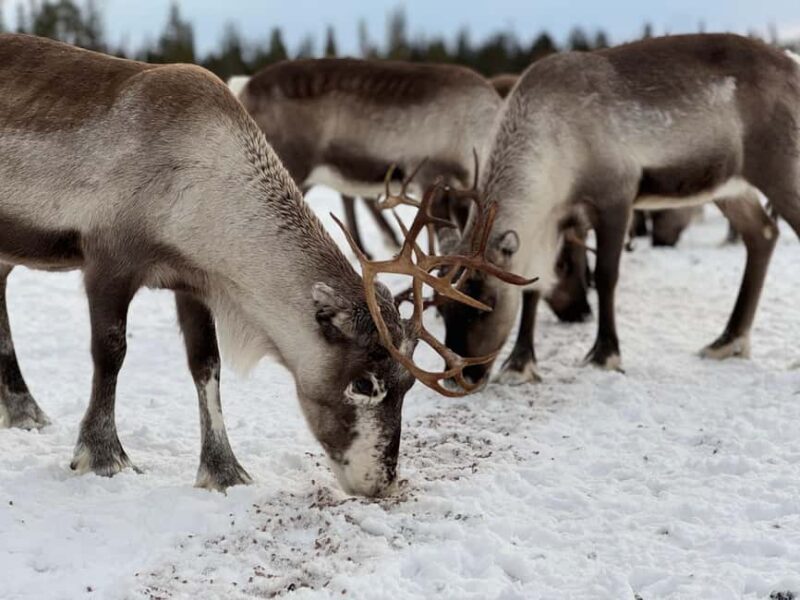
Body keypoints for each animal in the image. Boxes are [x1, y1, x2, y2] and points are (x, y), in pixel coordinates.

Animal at [0, 34, 528, 496]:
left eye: (407, 385)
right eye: (363, 383)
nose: (381, 483)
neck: (199, 187)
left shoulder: (193, 282)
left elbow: (206, 366)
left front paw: (223, 470)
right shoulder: (108, 262)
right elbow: (111, 352)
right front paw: (102, 455)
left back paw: (22, 408)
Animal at [436, 34, 800, 385]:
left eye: (486, 304)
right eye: (440, 307)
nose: (460, 376)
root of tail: (793, 65)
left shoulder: (616, 197)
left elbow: (606, 276)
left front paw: (605, 354)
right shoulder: (552, 219)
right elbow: (535, 287)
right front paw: (519, 364)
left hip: (780, 169)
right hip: (732, 187)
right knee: (763, 233)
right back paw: (728, 341)